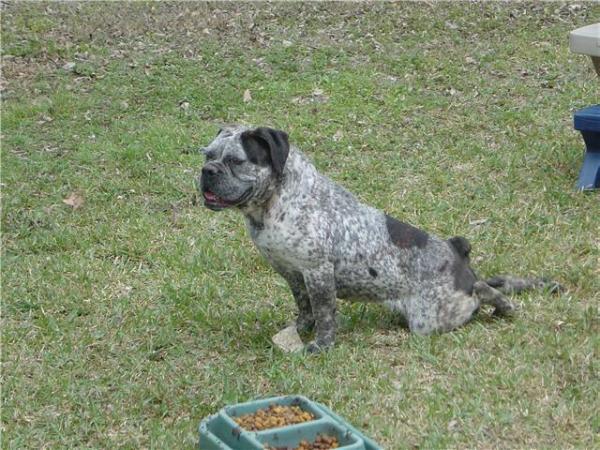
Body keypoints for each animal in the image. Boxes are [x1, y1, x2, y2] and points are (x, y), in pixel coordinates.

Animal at [197, 125, 556, 354]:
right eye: (207, 155)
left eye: (236, 161)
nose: (207, 171)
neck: (275, 201)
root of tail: (459, 256)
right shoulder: (293, 274)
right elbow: (305, 307)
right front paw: (300, 330)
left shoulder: (318, 272)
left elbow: (325, 313)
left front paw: (321, 346)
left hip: (433, 318)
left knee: (482, 293)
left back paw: (503, 306)